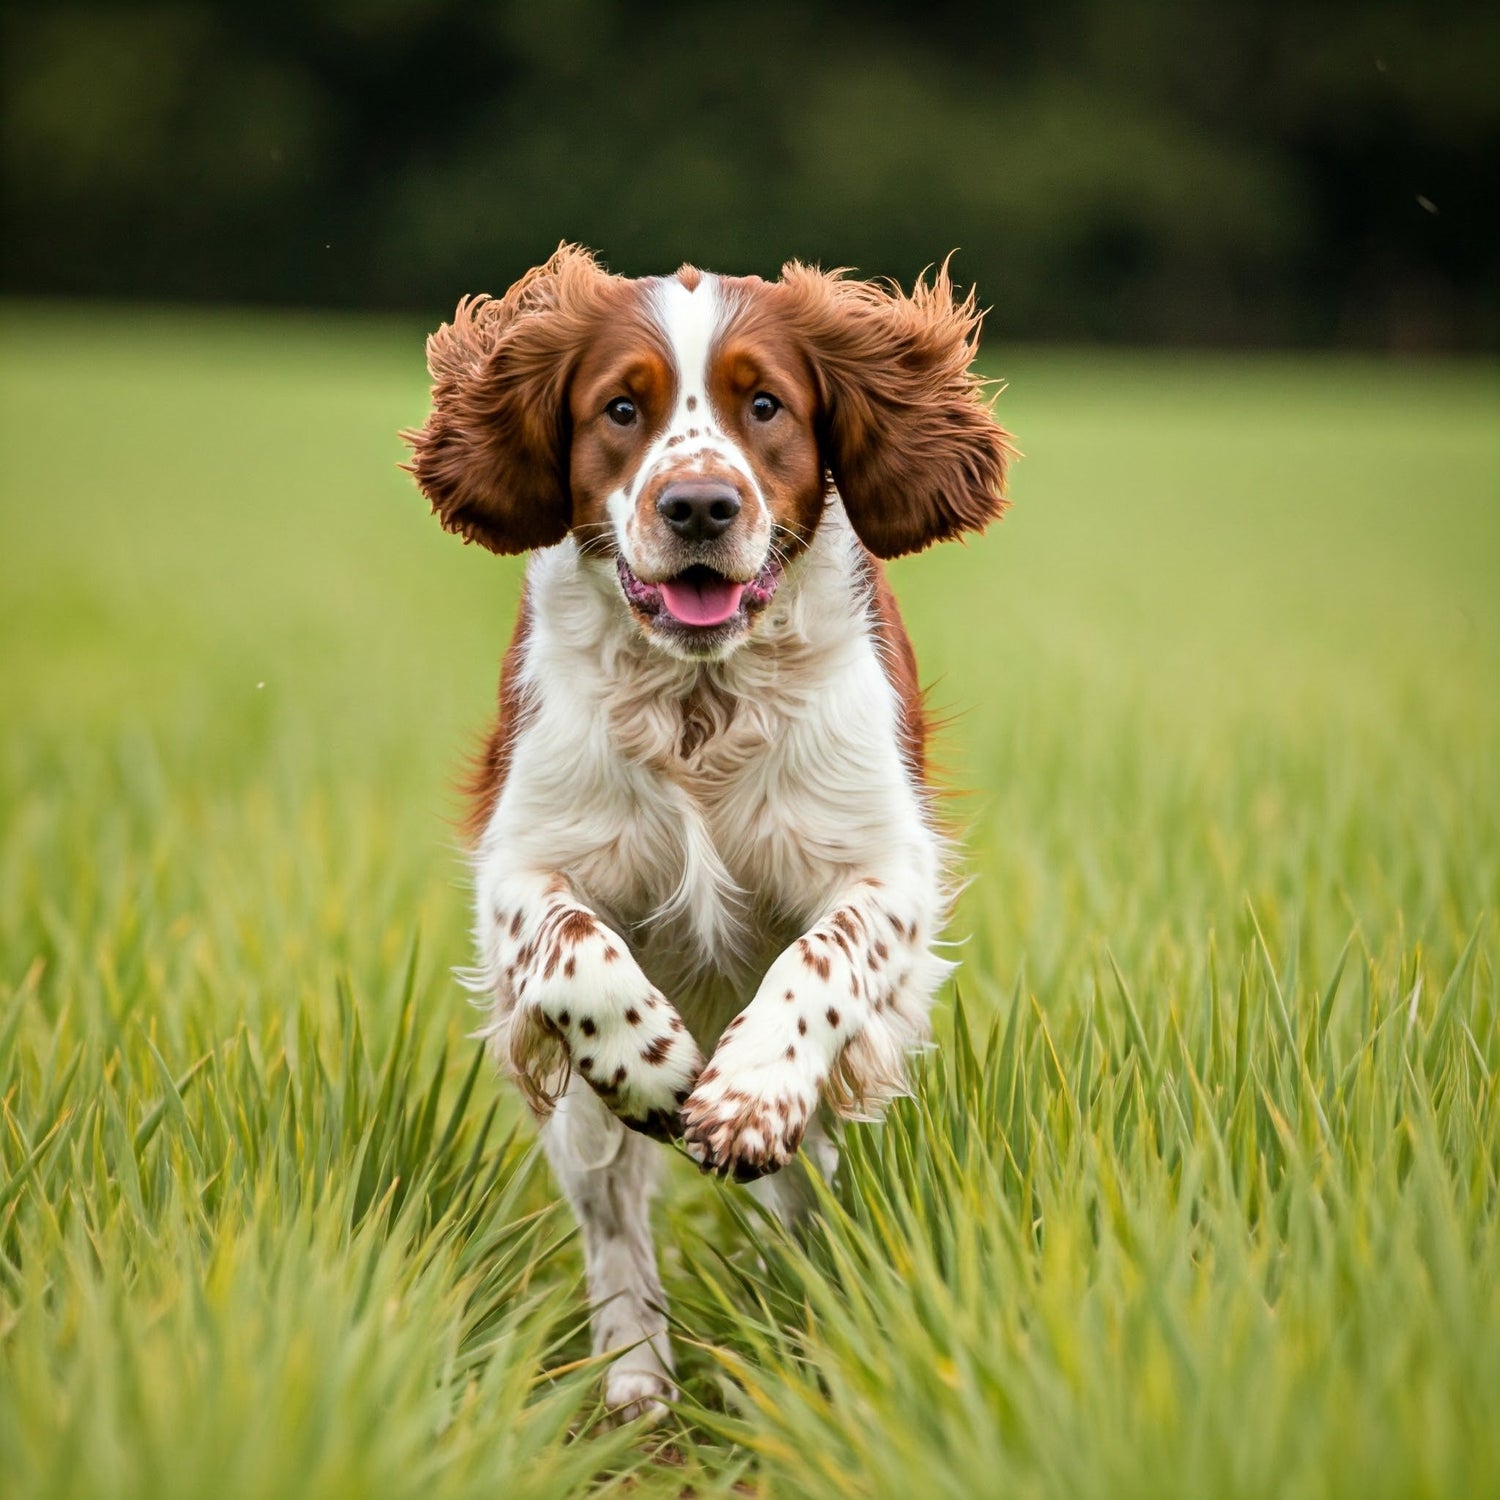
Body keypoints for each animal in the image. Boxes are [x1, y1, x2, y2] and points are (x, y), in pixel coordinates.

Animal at [402, 246, 1008, 1416]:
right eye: (620, 407)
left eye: (764, 403)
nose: (697, 506)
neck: (700, 698)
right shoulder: (521, 861)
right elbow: (577, 953)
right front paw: (658, 1068)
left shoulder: (889, 866)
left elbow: (822, 958)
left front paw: (745, 1095)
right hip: (578, 1132)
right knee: (614, 1226)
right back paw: (637, 1384)